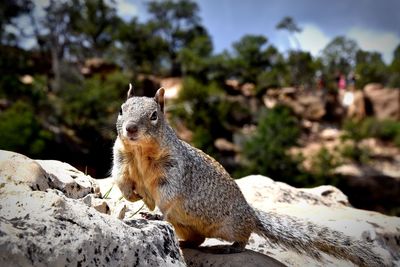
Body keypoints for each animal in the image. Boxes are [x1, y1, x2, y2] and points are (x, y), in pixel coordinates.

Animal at [111, 85, 386, 266]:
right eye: (122, 110)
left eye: (154, 116)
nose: (131, 128)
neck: (140, 151)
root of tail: (251, 213)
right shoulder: (121, 159)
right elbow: (121, 179)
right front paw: (132, 196)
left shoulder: (173, 169)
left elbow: (168, 196)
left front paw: (155, 212)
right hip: (187, 225)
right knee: (198, 239)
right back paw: (185, 243)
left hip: (231, 225)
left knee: (243, 237)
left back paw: (229, 249)